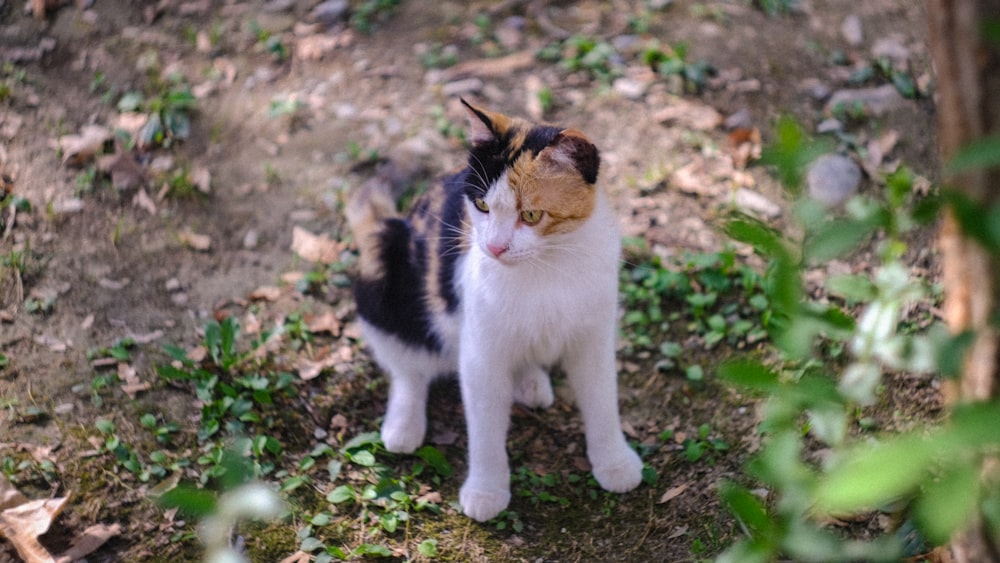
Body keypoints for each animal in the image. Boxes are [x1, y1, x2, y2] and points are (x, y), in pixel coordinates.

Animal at [346, 99, 640, 524]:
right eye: (482, 206)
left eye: (531, 215)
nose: (495, 247)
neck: (547, 268)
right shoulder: (480, 352)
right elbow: (484, 425)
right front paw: (486, 490)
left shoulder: (594, 336)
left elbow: (602, 399)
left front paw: (614, 462)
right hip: (382, 266)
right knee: (407, 367)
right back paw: (404, 423)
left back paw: (530, 382)